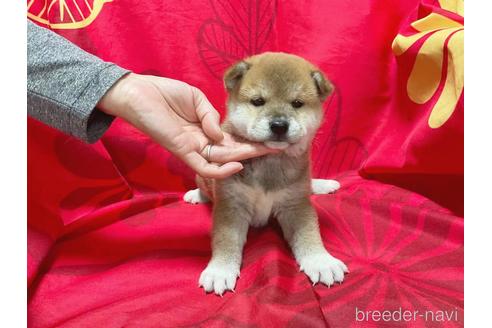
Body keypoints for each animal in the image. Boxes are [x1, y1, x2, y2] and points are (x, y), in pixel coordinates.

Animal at [184, 52, 350, 296]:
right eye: (258, 101)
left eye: (297, 103)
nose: (279, 125)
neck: (269, 161)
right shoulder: (231, 205)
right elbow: (226, 240)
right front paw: (220, 270)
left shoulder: (296, 204)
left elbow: (309, 234)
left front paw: (321, 262)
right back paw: (196, 195)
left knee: (309, 184)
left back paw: (323, 184)